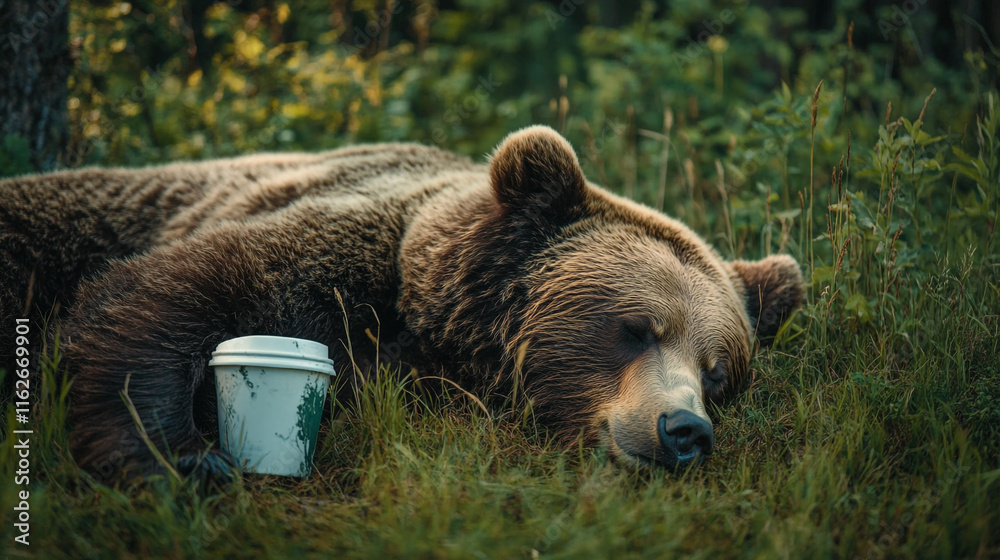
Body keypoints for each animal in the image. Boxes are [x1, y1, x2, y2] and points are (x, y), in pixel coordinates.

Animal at [0, 126, 804, 486]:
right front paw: (187, 457)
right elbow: (167, 297)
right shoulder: (340, 254)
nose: (684, 429)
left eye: (720, 372)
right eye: (636, 328)